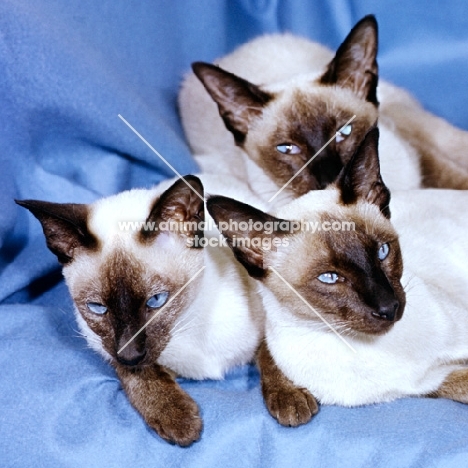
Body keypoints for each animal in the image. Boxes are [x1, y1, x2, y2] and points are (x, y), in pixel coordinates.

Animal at [16, 176, 266, 446]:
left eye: (156, 300)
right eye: (98, 308)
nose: (130, 354)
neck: (186, 323)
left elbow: (273, 354)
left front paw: (284, 403)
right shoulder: (104, 345)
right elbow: (136, 373)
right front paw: (177, 420)